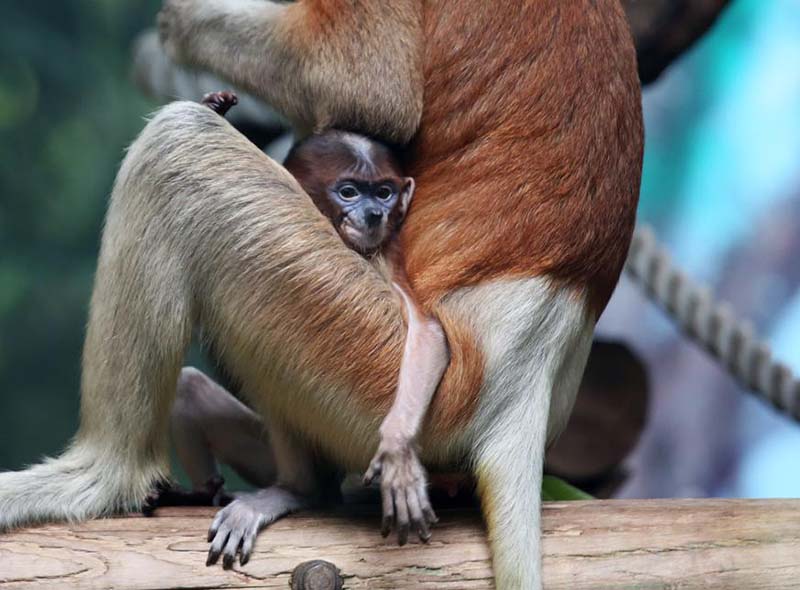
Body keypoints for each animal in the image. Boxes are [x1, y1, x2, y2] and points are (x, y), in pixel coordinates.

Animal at [0, 2, 642, 588]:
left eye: (382, 193)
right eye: (350, 191)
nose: (372, 216)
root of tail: (525, 387)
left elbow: (370, 92)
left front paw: (179, 24)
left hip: (378, 364)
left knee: (179, 146)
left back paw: (107, 480)